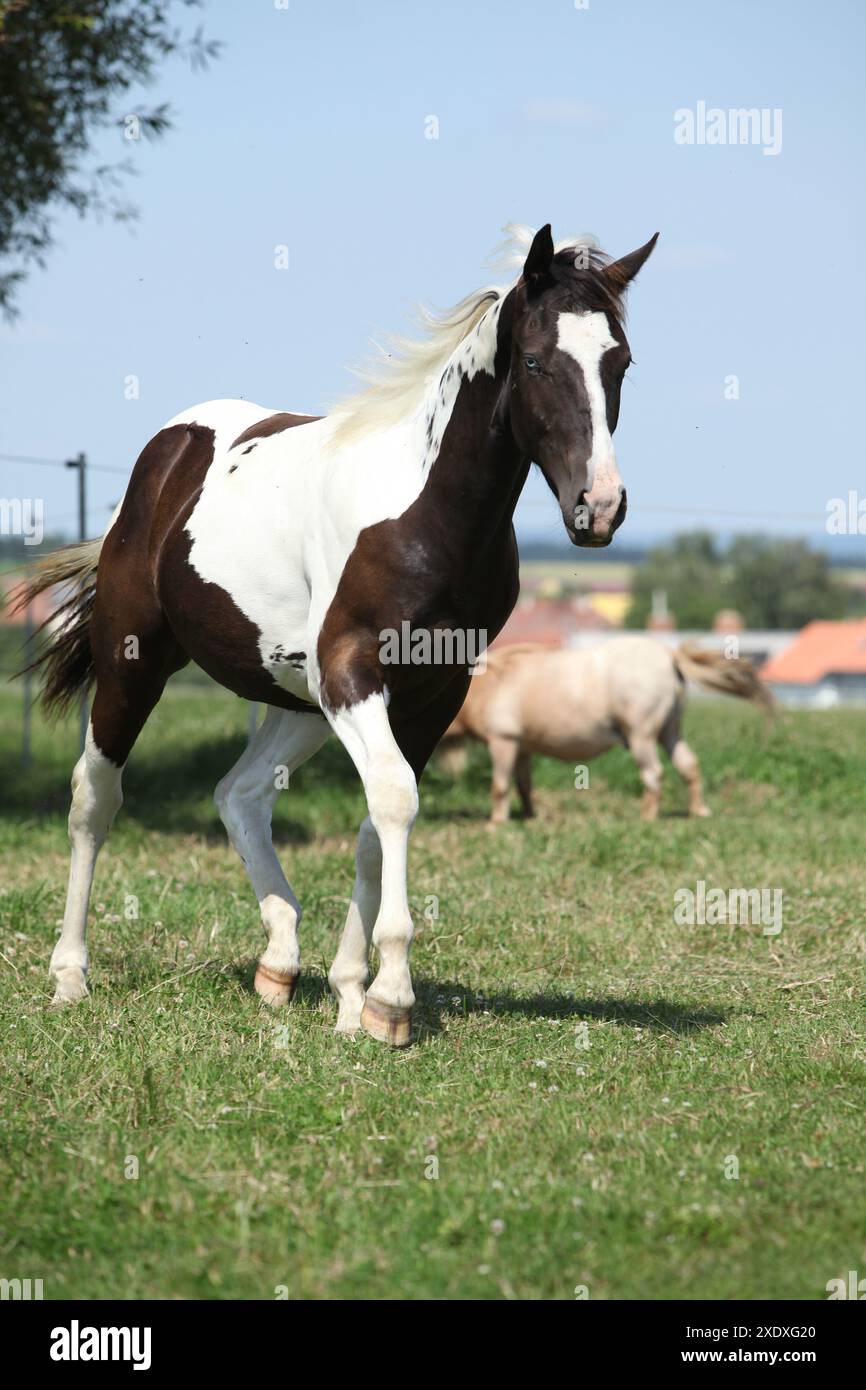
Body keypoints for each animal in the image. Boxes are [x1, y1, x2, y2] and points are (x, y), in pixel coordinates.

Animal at [20, 222, 656, 1045]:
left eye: (620, 361)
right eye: (537, 360)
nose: (599, 508)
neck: (427, 517)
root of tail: (166, 456)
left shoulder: (431, 692)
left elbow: (374, 825)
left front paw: (356, 997)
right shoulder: (355, 675)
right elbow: (394, 800)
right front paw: (392, 999)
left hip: (297, 700)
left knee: (240, 794)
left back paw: (280, 964)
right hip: (136, 667)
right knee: (94, 798)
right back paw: (71, 975)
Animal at [439, 639, 772, 822]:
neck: (489, 684)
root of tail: (669, 656)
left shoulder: (503, 740)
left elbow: (499, 785)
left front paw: (497, 822)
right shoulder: (523, 747)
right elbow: (524, 787)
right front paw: (529, 816)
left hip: (641, 735)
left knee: (654, 773)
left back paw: (647, 816)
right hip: (670, 730)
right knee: (688, 765)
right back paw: (698, 810)